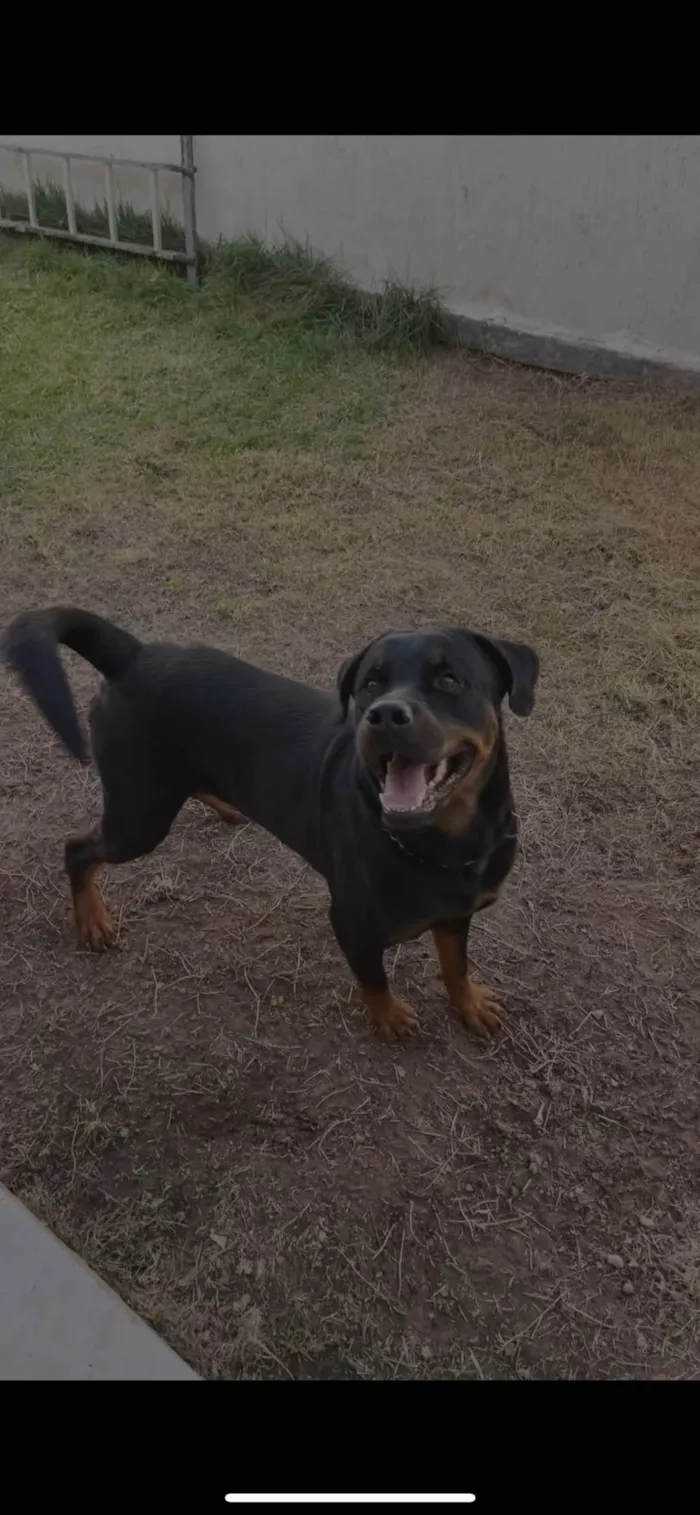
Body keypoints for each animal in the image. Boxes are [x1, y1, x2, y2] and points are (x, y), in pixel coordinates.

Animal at [2, 609, 539, 1036]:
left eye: (450, 680)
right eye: (371, 684)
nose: (385, 714)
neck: (442, 842)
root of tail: (132, 655)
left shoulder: (457, 914)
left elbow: (455, 965)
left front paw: (469, 1004)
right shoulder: (353, 925)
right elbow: (374, 979)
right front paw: (387, 1018)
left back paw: (225, 805)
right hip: (139, 816)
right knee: (79, 849)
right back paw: (92, 921)